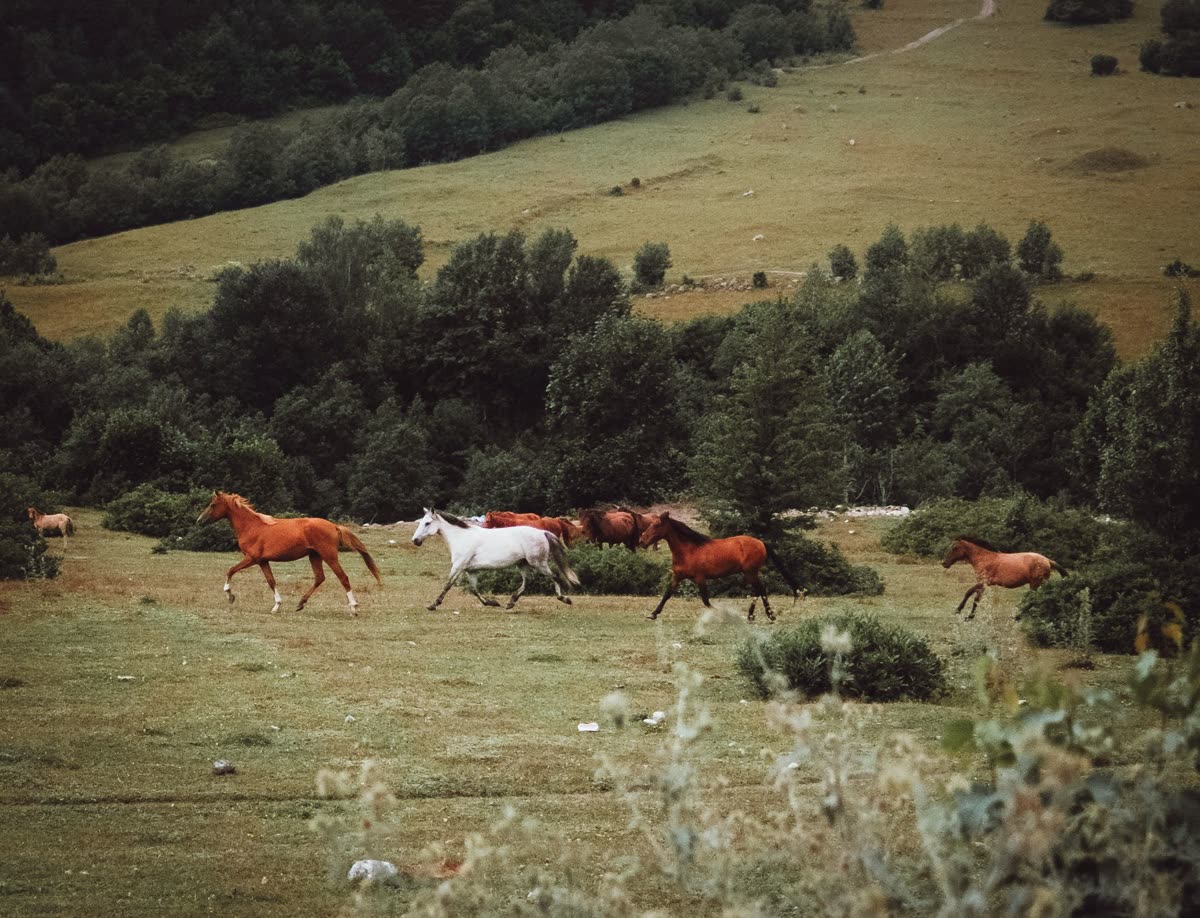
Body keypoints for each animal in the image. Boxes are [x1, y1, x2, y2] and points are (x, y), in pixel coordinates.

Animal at [196, 492, 380, 615]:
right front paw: (276, 606)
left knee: (343, 578)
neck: (252, 526)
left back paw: (353, 608)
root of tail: (334, 526)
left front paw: (230, 596)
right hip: (314, 556)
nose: (199, 521)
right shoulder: (263, 561)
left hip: (329, 556)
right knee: (319, 578)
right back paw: (300, 603)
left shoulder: (252, 559)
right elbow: (271, 581)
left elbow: (230, 571)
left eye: (212, 505)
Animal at [412, 508, 579, 611]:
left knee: (555, 576)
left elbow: (447, 585)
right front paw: (492, 603)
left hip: (538, 563)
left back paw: (564, 599)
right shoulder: (470, 571)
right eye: (420, 522)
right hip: (523, 564)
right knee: (526, 582)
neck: (461, 538)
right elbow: (474, 590)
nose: (415, 540)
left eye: (427, 523)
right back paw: (511, 603)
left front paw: (433, 605)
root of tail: (543, 532)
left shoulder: (458, 567)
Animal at [637, 511, 802, 622]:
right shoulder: (677, 576)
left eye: (656, 525)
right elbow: (667, 594)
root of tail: (761, 543)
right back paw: (753, 616)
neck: (689, 550)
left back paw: (768, 615)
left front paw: (721, 614)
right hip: (749, 573)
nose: (641, 541)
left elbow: (705, 600)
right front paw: (653, 614)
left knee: (760, 590)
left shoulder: (700, 578)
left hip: (750, 572)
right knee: (758, 590)